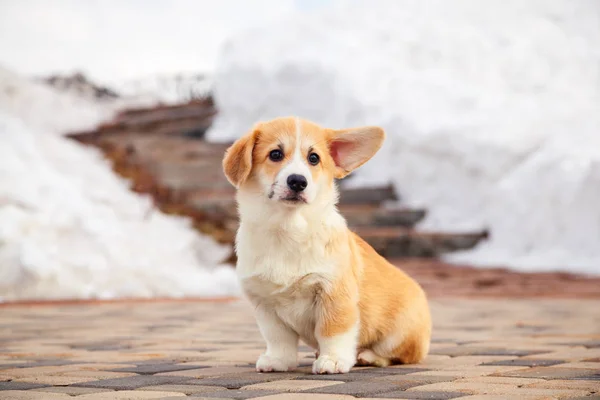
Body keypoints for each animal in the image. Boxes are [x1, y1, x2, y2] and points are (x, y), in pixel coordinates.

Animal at [223, 117, 428, 374]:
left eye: (314, 158)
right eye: (275, 154)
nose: (298, 181)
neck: (288, 228)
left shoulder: (334, 292)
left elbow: (332, 330)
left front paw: (333, 360)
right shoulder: (264, 303)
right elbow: (278, 337)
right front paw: (278, 360)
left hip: (399, 334)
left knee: (401, 354)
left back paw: (367, 356)